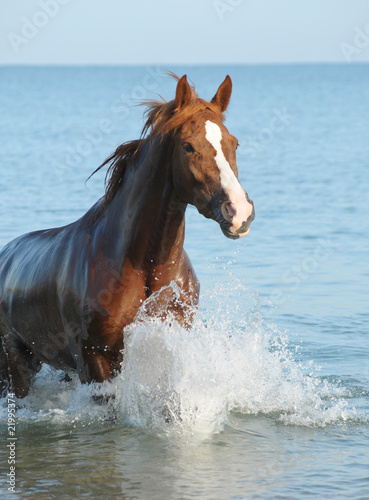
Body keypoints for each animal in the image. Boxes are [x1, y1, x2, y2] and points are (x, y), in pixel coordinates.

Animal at [0, 75, 253, 398]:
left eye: (234, 143)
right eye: (187, 146)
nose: (239, 211)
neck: (146, 266)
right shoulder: (94, 359)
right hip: (14, 369)